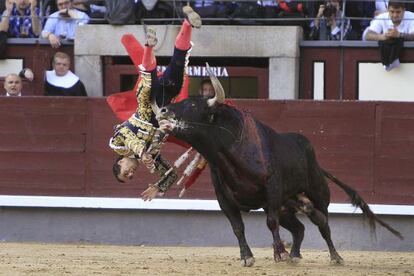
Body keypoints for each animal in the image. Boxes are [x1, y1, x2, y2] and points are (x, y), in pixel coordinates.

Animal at [156, 98, 402, 266]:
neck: (231, 152)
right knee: (300, 227)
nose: (164, 110)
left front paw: (279, 253)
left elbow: (270, 223)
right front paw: (247, 257)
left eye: (193, 104)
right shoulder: (224, 200)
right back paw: (295, 255)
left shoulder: (271, 191)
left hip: (318, 196)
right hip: (287, 208)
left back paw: (335, 257)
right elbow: (237, 227)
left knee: (323, 225)